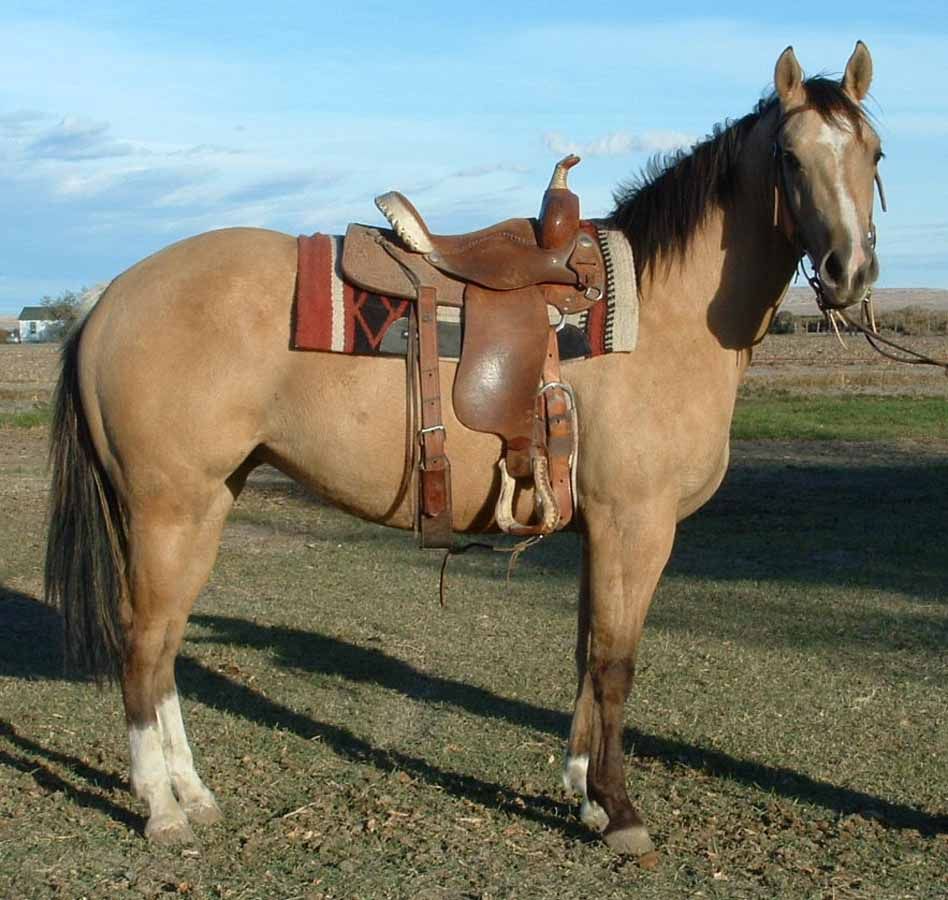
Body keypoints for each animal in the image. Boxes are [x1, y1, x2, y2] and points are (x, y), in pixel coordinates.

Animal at [45, 42, 883, 853]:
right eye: (790, 158)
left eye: (873, 152)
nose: (849, 271)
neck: (657, 318)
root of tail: (106, 300)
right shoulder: (635, 525)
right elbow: (615, 665)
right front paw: (620, 811)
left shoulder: (599, 528)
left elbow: (585, 656)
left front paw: (583, 794)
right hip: (170, 511)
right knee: (144, 645)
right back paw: (162, 810)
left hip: (208, 504)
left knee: (165, 648)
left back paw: (193, 793)